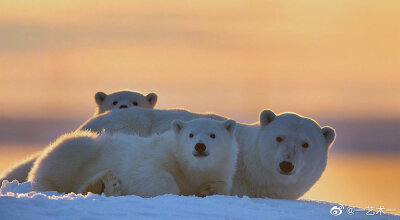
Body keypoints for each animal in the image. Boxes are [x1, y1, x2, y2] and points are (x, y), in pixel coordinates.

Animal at [30, 118, 238, 198]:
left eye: (213, 135)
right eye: (191, 134)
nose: (200, 146)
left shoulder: (220, 168)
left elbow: (222, 186)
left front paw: (209, 189)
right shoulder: (158, 154)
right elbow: (147, 171)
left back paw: (106, 185)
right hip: (77, 149)